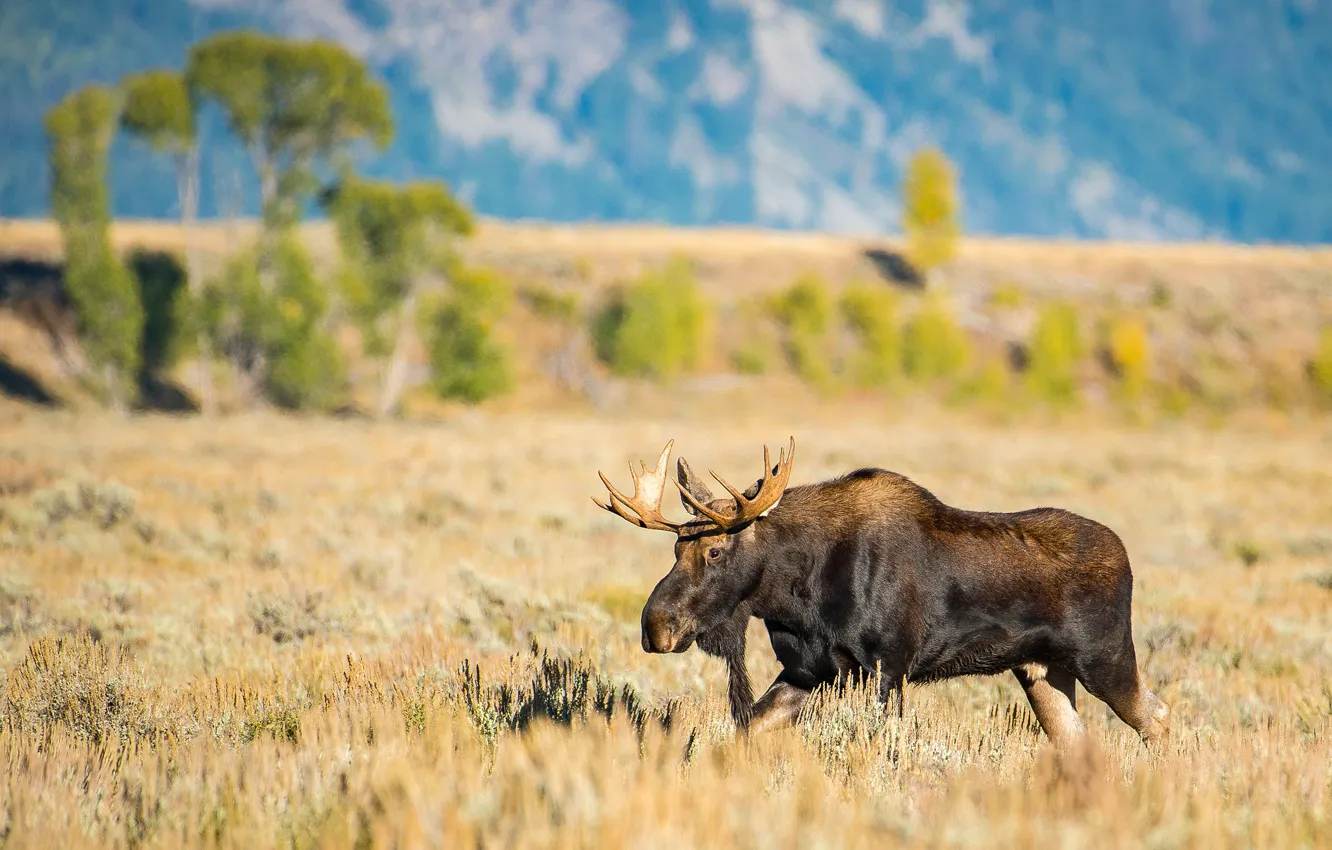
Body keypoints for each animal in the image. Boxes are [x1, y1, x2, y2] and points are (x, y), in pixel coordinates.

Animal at [592, 438, 1170, 750]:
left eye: (714, 552)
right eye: (675, 548)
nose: (655, 627)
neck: (795, 597)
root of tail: (1125, 557)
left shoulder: (887, 667)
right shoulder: (807, 671)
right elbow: (746, 730)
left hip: (1104, 657)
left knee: (1158, 717)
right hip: (1042, 672)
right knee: (1080, 741)